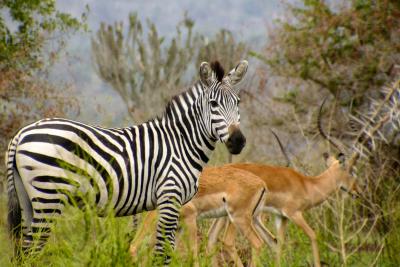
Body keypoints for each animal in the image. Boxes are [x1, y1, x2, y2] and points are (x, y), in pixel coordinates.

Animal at [6, 59, 248, 262]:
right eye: (213, 103)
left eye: (237, 102)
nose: (238, 141)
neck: (181, 142)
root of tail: (23, 132)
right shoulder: (169, 198)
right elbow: (162, 252)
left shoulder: (173, 204)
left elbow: (169, 249)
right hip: (48, 196)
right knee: (32, 249)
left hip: (30, 198)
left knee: (24, 250)